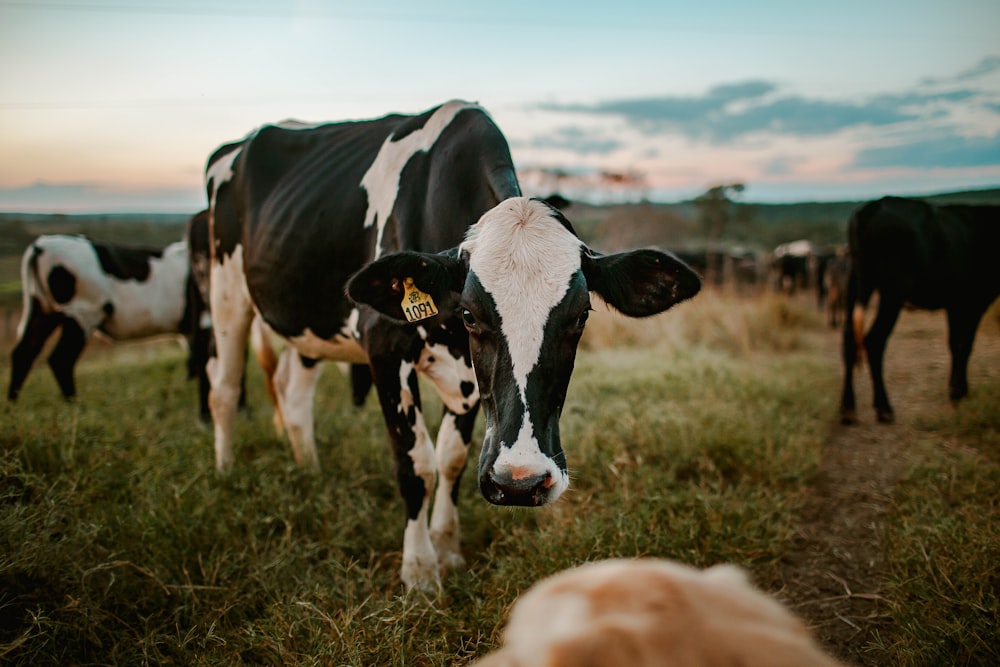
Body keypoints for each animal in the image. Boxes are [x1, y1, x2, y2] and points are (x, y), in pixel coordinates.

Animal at [7, 235, 207, 412]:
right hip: (82, 312)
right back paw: (75, 407)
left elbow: (194, 361)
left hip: (43, 310)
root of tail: (42, 245)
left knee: (24, 353)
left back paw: (12, 406)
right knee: (61, 359)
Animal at [204, 99, 704, 588]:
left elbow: (451, 459)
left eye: (581, 316)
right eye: (469, 314)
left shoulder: (470, 379)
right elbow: (416, 465)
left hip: (306, 323)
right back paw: (225, 473)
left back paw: (309, 468)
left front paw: (447, 549)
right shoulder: (384, 348)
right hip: (225, 291)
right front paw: (420, 571)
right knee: (224, 389)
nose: (521, 482)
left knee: (293, 394)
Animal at [840, 196, 996, 422]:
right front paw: (960, 392)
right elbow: (965, 344)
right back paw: (884, 409)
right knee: (874, 340)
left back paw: (848, 409)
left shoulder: (955, 304)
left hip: (856, 285)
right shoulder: (974, 303)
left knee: (849, 340)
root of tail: (872, 207)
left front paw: (955, 390)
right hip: (892, 293)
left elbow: (954, 343)